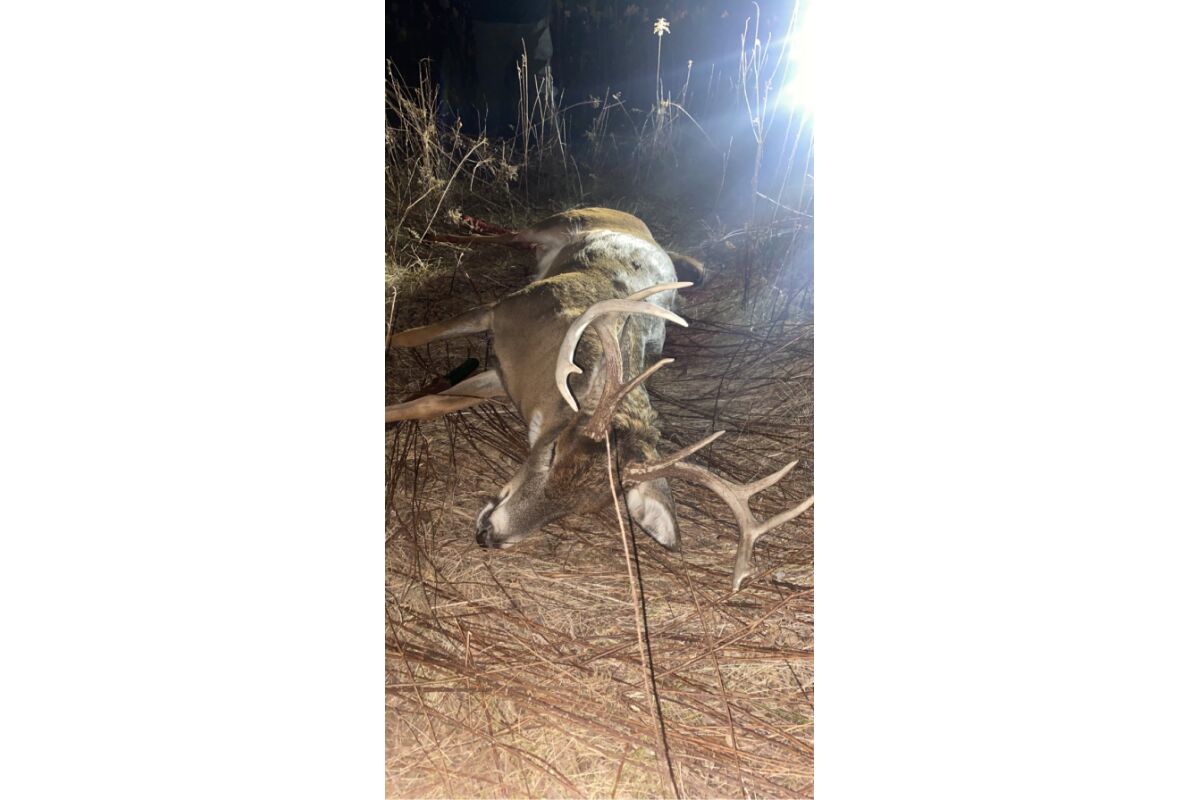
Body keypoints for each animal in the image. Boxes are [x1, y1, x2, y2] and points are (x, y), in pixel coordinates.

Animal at [386, 207, 813, 591]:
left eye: (585, 505)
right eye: (553, 451)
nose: (488, 534)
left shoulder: (502, 376)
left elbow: (434, 403)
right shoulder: (504, 307)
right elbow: (419, 333)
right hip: (560, 219)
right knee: (507, 234)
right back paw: (444, 229)